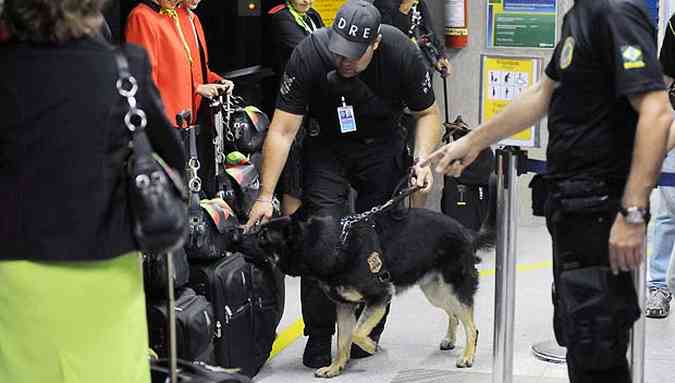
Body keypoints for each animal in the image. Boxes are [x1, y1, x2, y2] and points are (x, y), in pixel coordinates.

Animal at [239, 201, 496, 378]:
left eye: (262, 236)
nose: (236, 235)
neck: (332, 246)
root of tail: (466, 231)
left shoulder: (379, 297)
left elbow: (356, 333)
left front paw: (371, 346)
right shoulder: (344, 306)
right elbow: (343, 339)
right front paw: (336, 367)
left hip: (451, 288)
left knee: (472, 326)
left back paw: (467, 356)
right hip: (436, 291)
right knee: (454, 313)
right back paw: (451, 340)